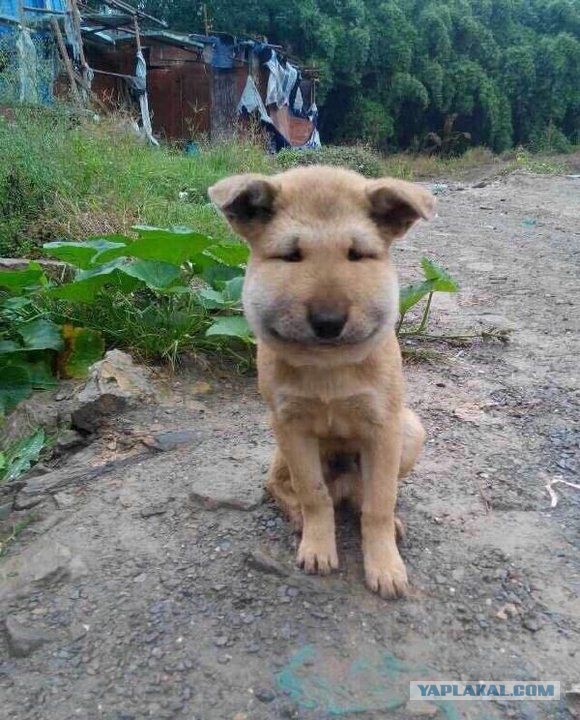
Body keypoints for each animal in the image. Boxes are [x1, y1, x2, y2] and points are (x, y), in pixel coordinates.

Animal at [210, 166, 436, 600]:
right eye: (291, 255)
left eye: (357, 254)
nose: (329, 322)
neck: (328, 366)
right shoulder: (291, 427)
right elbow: (314, 494)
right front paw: (318, 546)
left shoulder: (384, 428)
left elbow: (379, 505)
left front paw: (384, 565)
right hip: (280, 446)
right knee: (279, 484)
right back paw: (298, 516)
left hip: (410, 429)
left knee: (365, 496)